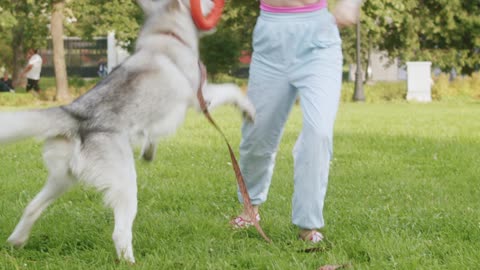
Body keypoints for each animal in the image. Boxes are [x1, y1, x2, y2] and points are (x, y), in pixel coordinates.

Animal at [0, 0, 255, 262]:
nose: (216, 4)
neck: (166, 33)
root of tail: (76, 114)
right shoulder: (201, 98)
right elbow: (232, 89)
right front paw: (248, 110)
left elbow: (152, 136)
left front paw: (149, 151)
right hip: (125, 185)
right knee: (120, 232)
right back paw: (131, 262)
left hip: (62, 180)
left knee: (31, 206)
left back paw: (17, 240)